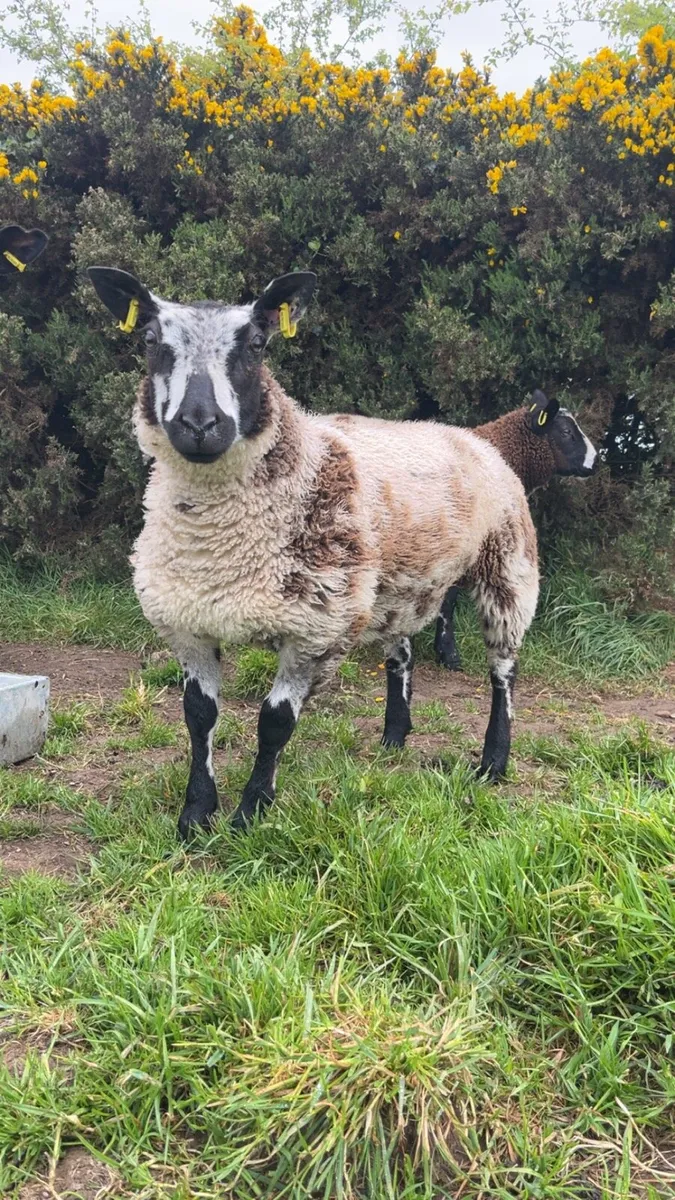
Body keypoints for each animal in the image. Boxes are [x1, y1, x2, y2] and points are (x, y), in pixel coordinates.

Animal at [88, 264, 540, 839]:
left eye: (257, 344)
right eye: (149, 341)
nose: (199, 425)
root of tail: (473, 437)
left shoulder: (316, 630)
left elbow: (274, 722)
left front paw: (250, 811)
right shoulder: (187, 622)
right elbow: (198, 715)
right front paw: (195, 814)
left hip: (508, 564)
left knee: (503, 670)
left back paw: (493, 761)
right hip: (394, 585)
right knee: (401, 655)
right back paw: (394, 738)